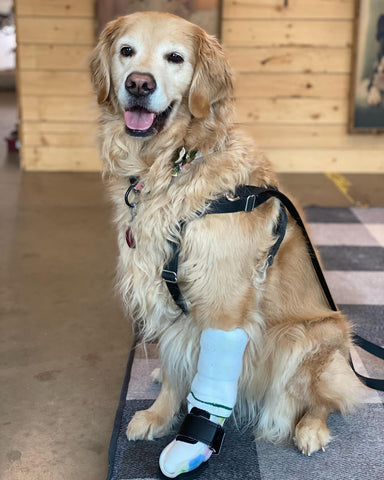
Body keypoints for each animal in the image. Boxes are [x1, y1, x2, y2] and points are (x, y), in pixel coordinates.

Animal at [88, 10, 364, 476]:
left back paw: (311, 429)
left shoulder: (224, 300)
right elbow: (175, 365)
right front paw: (160, 414)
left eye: (175, 58)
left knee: (327, 398)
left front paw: (191, 439)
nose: (139, 84)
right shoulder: (168, 293)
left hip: (309, 336)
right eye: (126, 51)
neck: (177, 162)